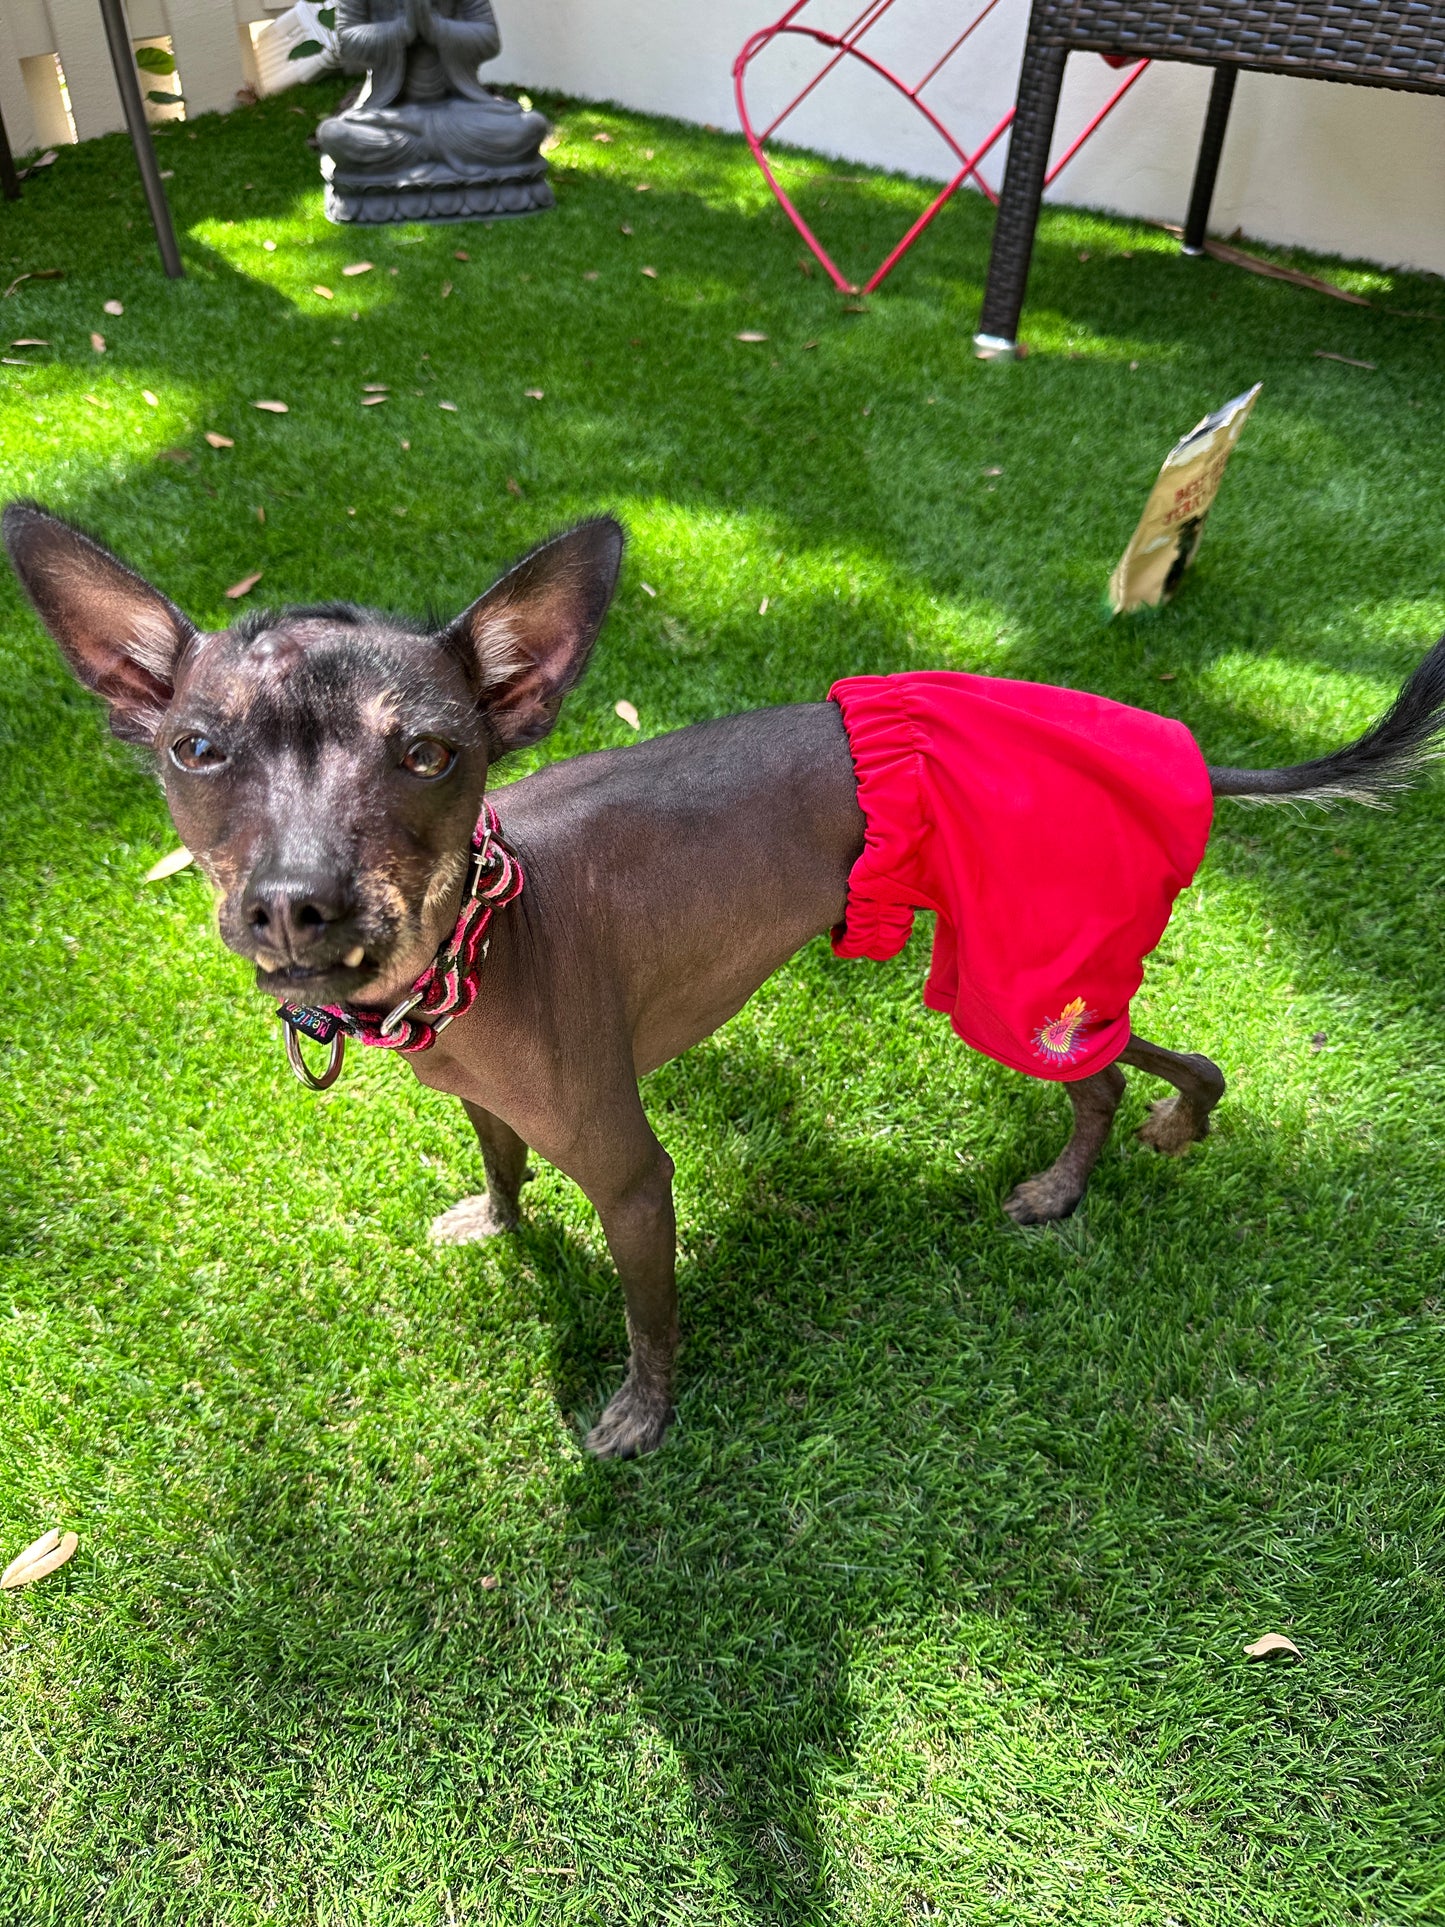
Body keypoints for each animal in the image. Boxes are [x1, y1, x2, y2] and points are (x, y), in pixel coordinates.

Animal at [11, 504, 1445, 1449]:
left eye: (426, 752)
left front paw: (642, 1413)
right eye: (197, 747)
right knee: (1140, 1060)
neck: (477, 947)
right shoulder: (481, 1096)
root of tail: (1172, 740)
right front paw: (500, 1221)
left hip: (1006, 973)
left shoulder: (636, 1178)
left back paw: (1092, 1167)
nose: (294, 901)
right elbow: (502, 1159)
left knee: (1134, 1066)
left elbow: (651, 1316)